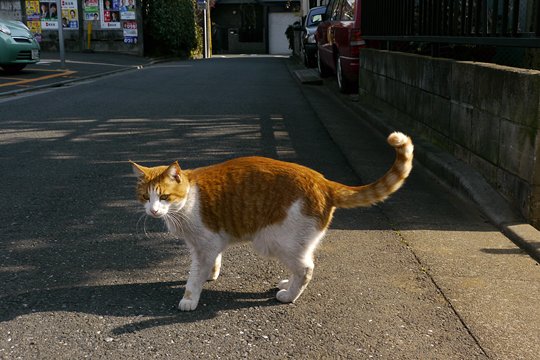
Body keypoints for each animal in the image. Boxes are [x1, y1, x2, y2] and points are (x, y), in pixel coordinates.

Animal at [131, 131, 414, 310]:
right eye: (146, 197)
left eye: (164, 197)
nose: (153, 211)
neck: (186, 202)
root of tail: (323, 181)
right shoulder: (207, 244)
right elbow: (212, 262)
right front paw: (212, 274)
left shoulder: (205, 243)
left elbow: (194, 277)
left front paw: (190, 297)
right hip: (297, 243)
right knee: (303, 264)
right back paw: (288, 283)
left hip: (277, 241)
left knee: (306, 268)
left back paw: (288, 296)